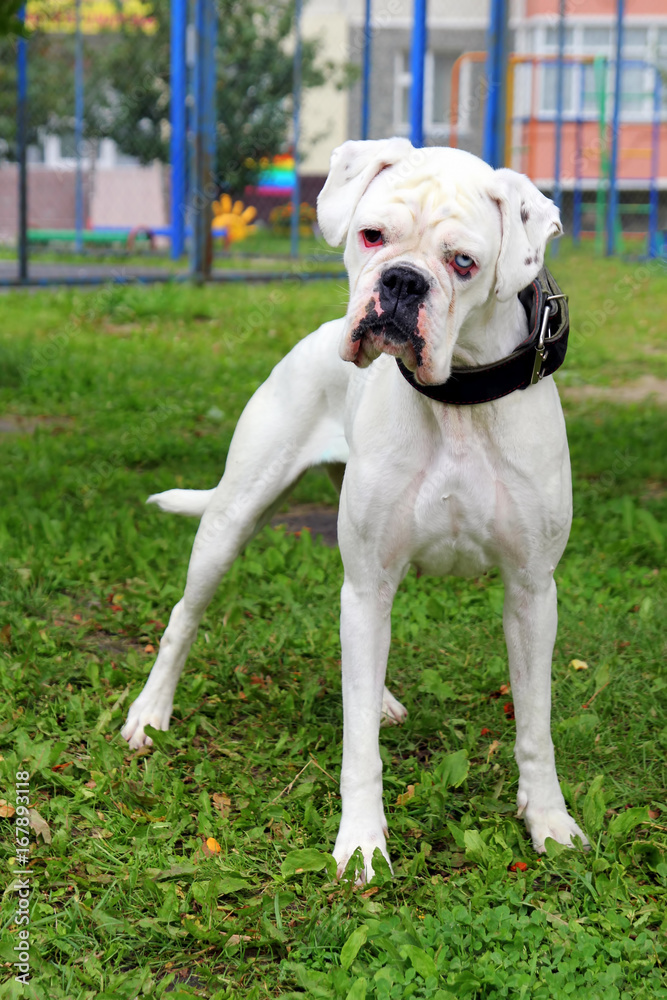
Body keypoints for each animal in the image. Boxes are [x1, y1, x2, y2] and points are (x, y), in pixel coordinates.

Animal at [121, 139, 588, 876]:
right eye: (371, 235)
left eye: (463, 263)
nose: (400, 282)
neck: (457, 398)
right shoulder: (369, 582)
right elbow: (358, 744)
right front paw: (362, 842)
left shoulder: (531, 592)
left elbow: (535, 728)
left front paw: (548, 822)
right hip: (232, 523)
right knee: (182, 617)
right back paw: (149, 713)